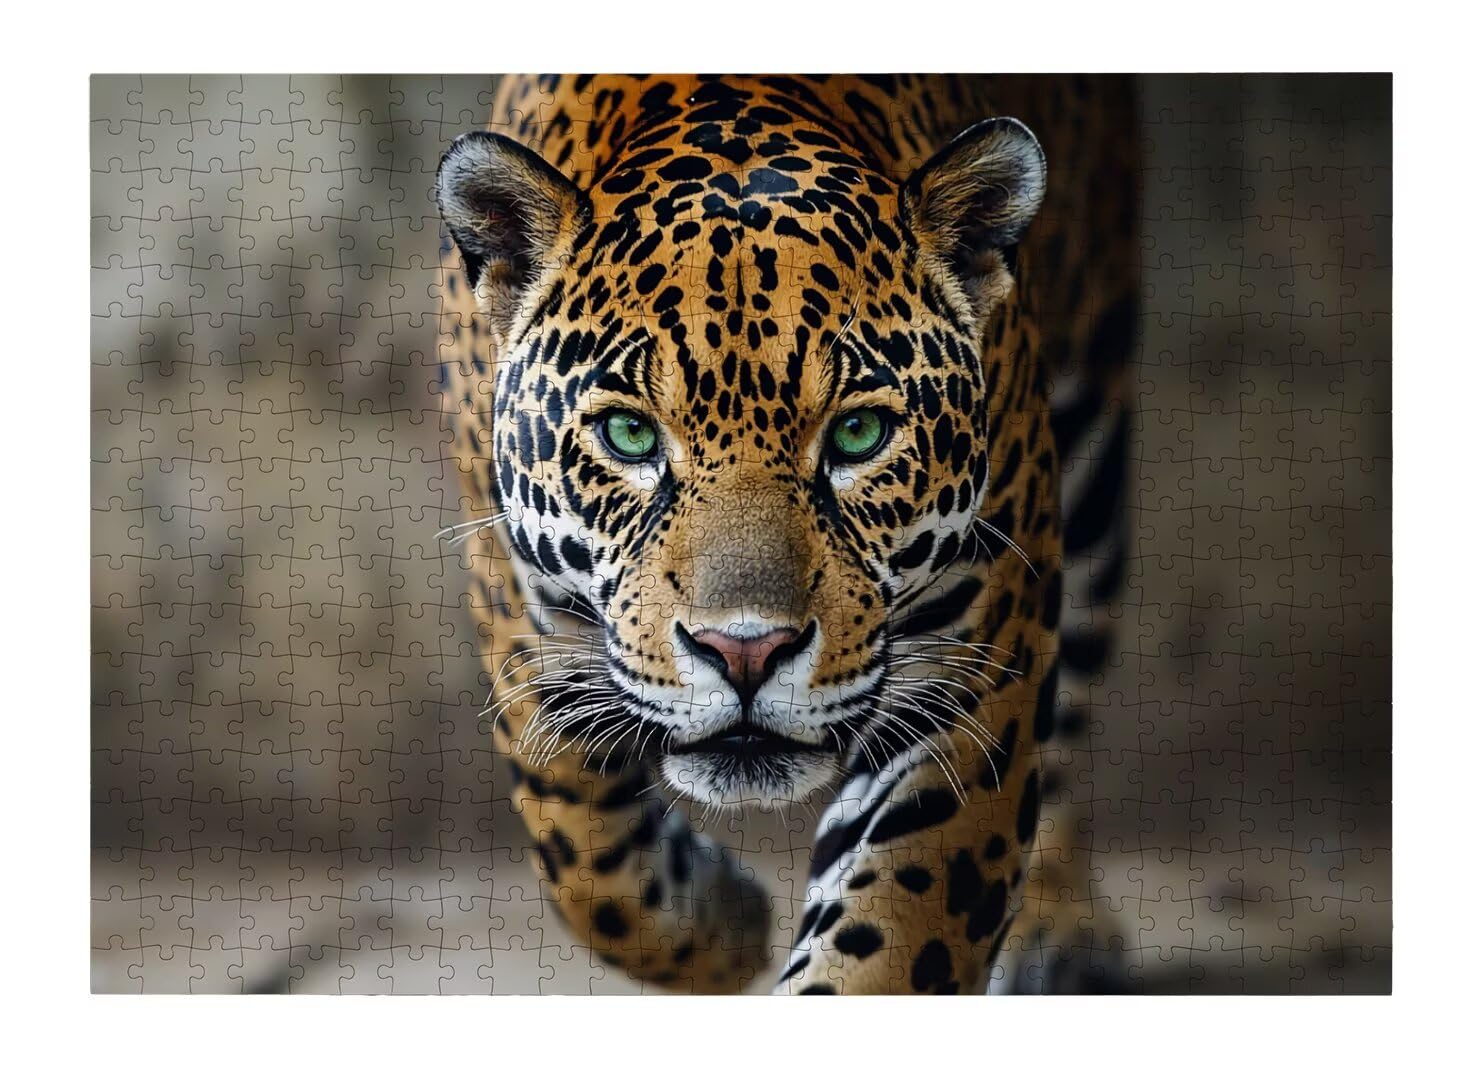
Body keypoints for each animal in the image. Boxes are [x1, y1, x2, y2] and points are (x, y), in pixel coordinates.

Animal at [435, 74, 1137, 994]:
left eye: (858, 437)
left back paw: (1059, 926)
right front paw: (724, 923)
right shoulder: (516, 606)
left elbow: (890, 936)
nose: (745, 653)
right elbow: (581, 849)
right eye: (629, 435)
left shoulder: (971, 676)